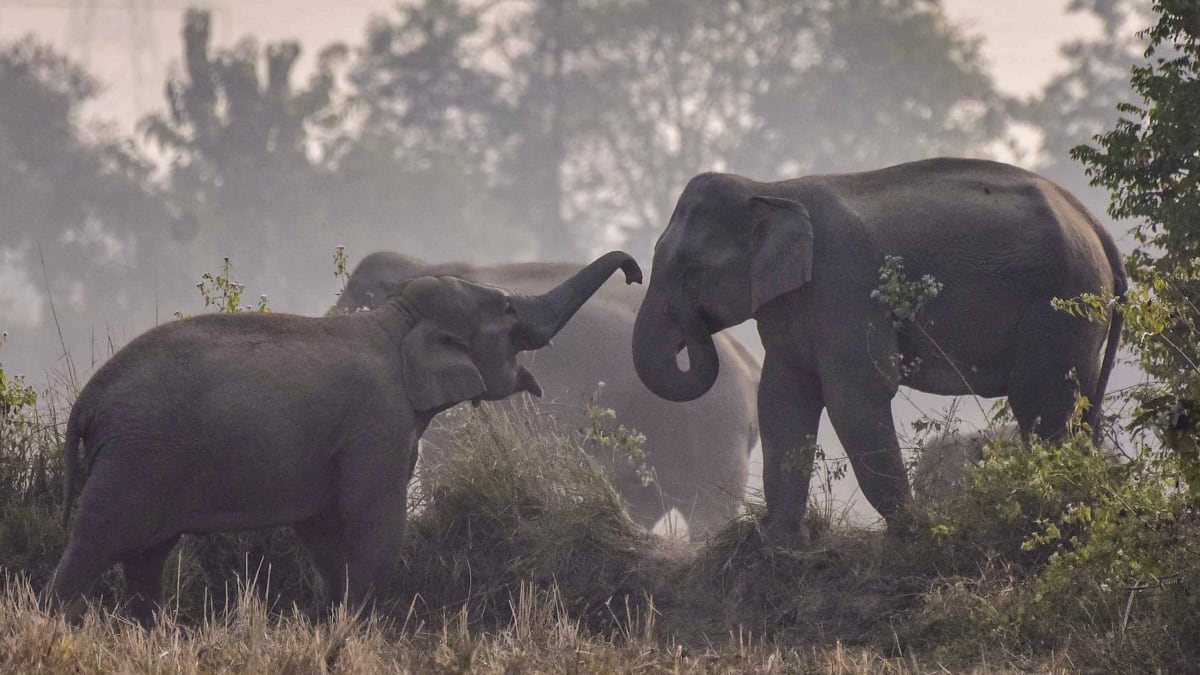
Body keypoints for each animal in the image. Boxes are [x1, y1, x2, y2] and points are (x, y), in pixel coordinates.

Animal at [41, 251, 641, 626]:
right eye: (509, 310)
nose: (635, 274)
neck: (395, 319)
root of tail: (87, 402)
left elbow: (323, 529)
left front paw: (332, 620)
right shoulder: (377, 423)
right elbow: (374, 521)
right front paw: (357, 626)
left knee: (147, 556)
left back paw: (153, 631)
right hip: (136, 457)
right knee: (98, 540)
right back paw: (52, 621)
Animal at [631, 157, 1127, 546]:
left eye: (692, 271)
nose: (628, 271)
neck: (772, 190)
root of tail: (1096, 226)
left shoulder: (843, 285)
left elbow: (857, 397)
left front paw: (912, 534)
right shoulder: (791, 305)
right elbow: (783, 398)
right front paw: (781, 544)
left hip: (1062, 300)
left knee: (1041, 400)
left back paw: (1055, 513)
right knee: (1078, 405)